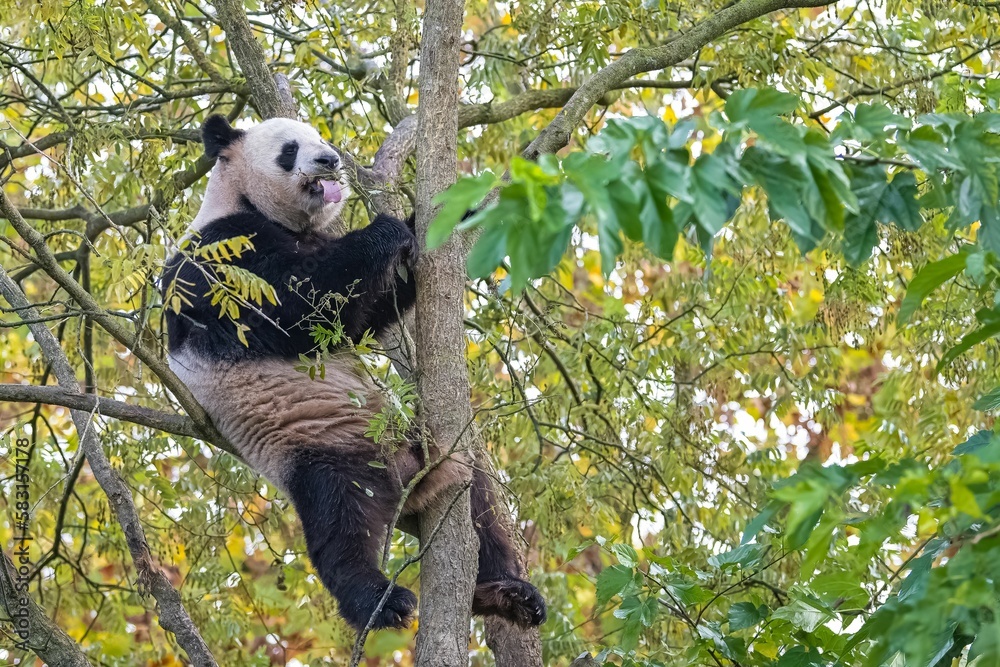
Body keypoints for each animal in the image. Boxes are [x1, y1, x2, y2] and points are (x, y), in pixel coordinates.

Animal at [160, 115, 546, 632]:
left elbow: (361, 316)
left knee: (479, 503)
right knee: (339, 525)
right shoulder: (220, 254)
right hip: (317, 446)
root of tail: (401, 478)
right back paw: (381, 601)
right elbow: (295, 306)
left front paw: (456, 211)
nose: (329, 160)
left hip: (429, 446)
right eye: (290, 148)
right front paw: (384, 229)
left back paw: (505, 592)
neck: (244, 200)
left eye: (321, 139)